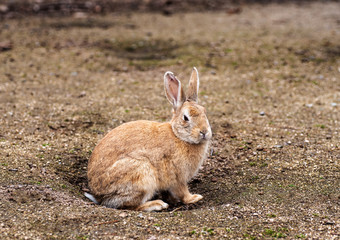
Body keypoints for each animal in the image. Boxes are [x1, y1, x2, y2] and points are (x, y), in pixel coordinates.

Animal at [86, 67, 211, 212]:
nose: (204, 132)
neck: (178, 136)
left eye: (205, 111)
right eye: (186, 118)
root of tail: (98, 195)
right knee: (131, 205)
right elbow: (182, 192)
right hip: (142, 176)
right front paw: (194, 198)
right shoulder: (178, 177)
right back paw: (157, 204)